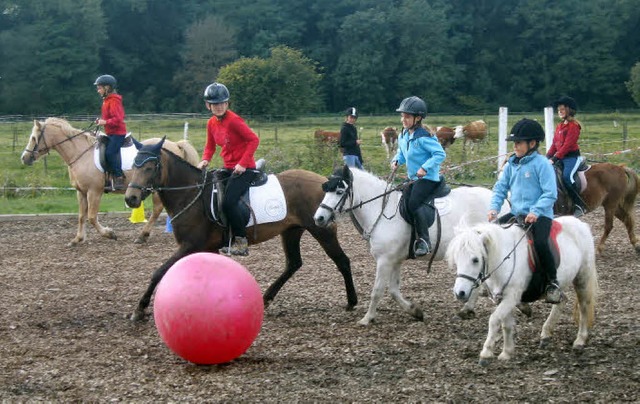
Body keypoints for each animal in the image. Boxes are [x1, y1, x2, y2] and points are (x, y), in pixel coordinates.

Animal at [21, 117, 199, 246]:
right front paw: (78, 239)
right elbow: (81, 216)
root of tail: (176, 144)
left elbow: (92, 217)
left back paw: (143, 235)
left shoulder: (94, 191)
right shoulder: (81, 192)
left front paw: (109, 234)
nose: (24, 158)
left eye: (34, 138)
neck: (80, 153)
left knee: (156, 210)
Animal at [122, 139, 358, 322]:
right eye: (134, 165)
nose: (130, 198)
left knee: (342, 260)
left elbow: (159, 272)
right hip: (291, 231)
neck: (191, 194)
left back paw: (352, 301)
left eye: (150, 167)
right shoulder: (207, 248)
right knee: (293, 264)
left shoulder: (189, 245)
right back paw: (266, 298)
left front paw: (140, 309)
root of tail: (324, 182)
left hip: (322, 230)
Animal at [314, 164, 510, 326]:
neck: (382, 210)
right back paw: (469, 308)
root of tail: (503, 201)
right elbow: (393, 290)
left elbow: (377, 290)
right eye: (326, 190)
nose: (319, 218)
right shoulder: (395, 260)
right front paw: (415, 311)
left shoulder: (384, 260)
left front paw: (367, 318)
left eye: (340, 191)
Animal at [448, 218, 596, 366]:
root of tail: (581, 224)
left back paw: (580, 340)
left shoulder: (511, 297)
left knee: (584, 306)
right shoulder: (501, 298)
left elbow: (494, 319)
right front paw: (507, 352)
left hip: (582, 277)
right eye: (456, 258)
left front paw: (486, 354)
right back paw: (546, 334)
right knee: (561, 301)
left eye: (476, 259)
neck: (503, 259)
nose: (460, 293)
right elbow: (506, 324)